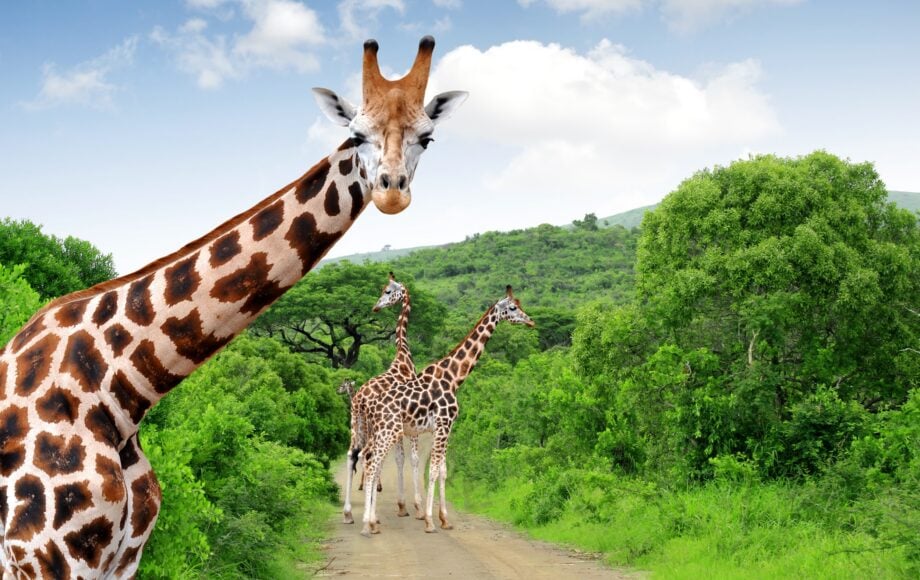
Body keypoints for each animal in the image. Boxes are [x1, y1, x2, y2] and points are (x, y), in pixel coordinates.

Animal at [343, 273, 422, 524]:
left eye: (387, 291)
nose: (376, 307)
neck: (404, 358)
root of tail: (358, 400)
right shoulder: (411, 425)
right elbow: (410, 458)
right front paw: (414, 507)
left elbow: (398, 458)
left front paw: (402, 506)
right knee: (368, 456)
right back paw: (371, 514)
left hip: (356, 424)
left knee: (352, 455)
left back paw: (349, 513)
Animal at [360, 286, 535, 537]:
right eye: (512, 307)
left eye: (519, 304)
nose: (530, 321)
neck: (453, 378)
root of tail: (370, 405)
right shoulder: (443, 424)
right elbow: (433, 470)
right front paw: (429, 521)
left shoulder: (443, 428)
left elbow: (442, 471)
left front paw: (444, 519)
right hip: (388, 432)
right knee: (373, 465)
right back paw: (369, 523)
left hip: (381, 432)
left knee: (368, 461)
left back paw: (370, 521)